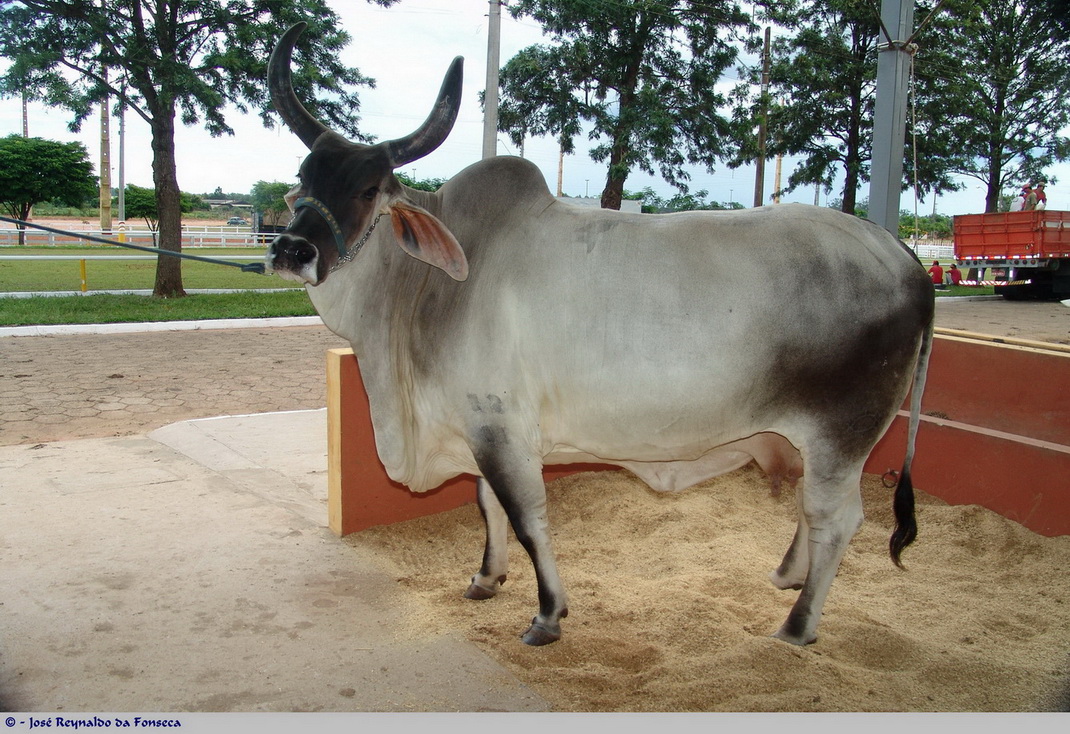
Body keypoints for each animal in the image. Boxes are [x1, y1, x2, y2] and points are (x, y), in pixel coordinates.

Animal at [266, 23, 934, 647]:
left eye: (368, 188)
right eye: (304, 176)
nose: (292, 250)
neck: (423, 291)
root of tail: (903, 255)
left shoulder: (502, 431)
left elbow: (527, 517)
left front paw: (547, 614)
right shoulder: (478, 424)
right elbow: (488, 506)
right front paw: (486, 578)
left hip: (841, 435)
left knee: (837, 519)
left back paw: (797, 625)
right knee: (813, 513)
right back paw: (787, 576)